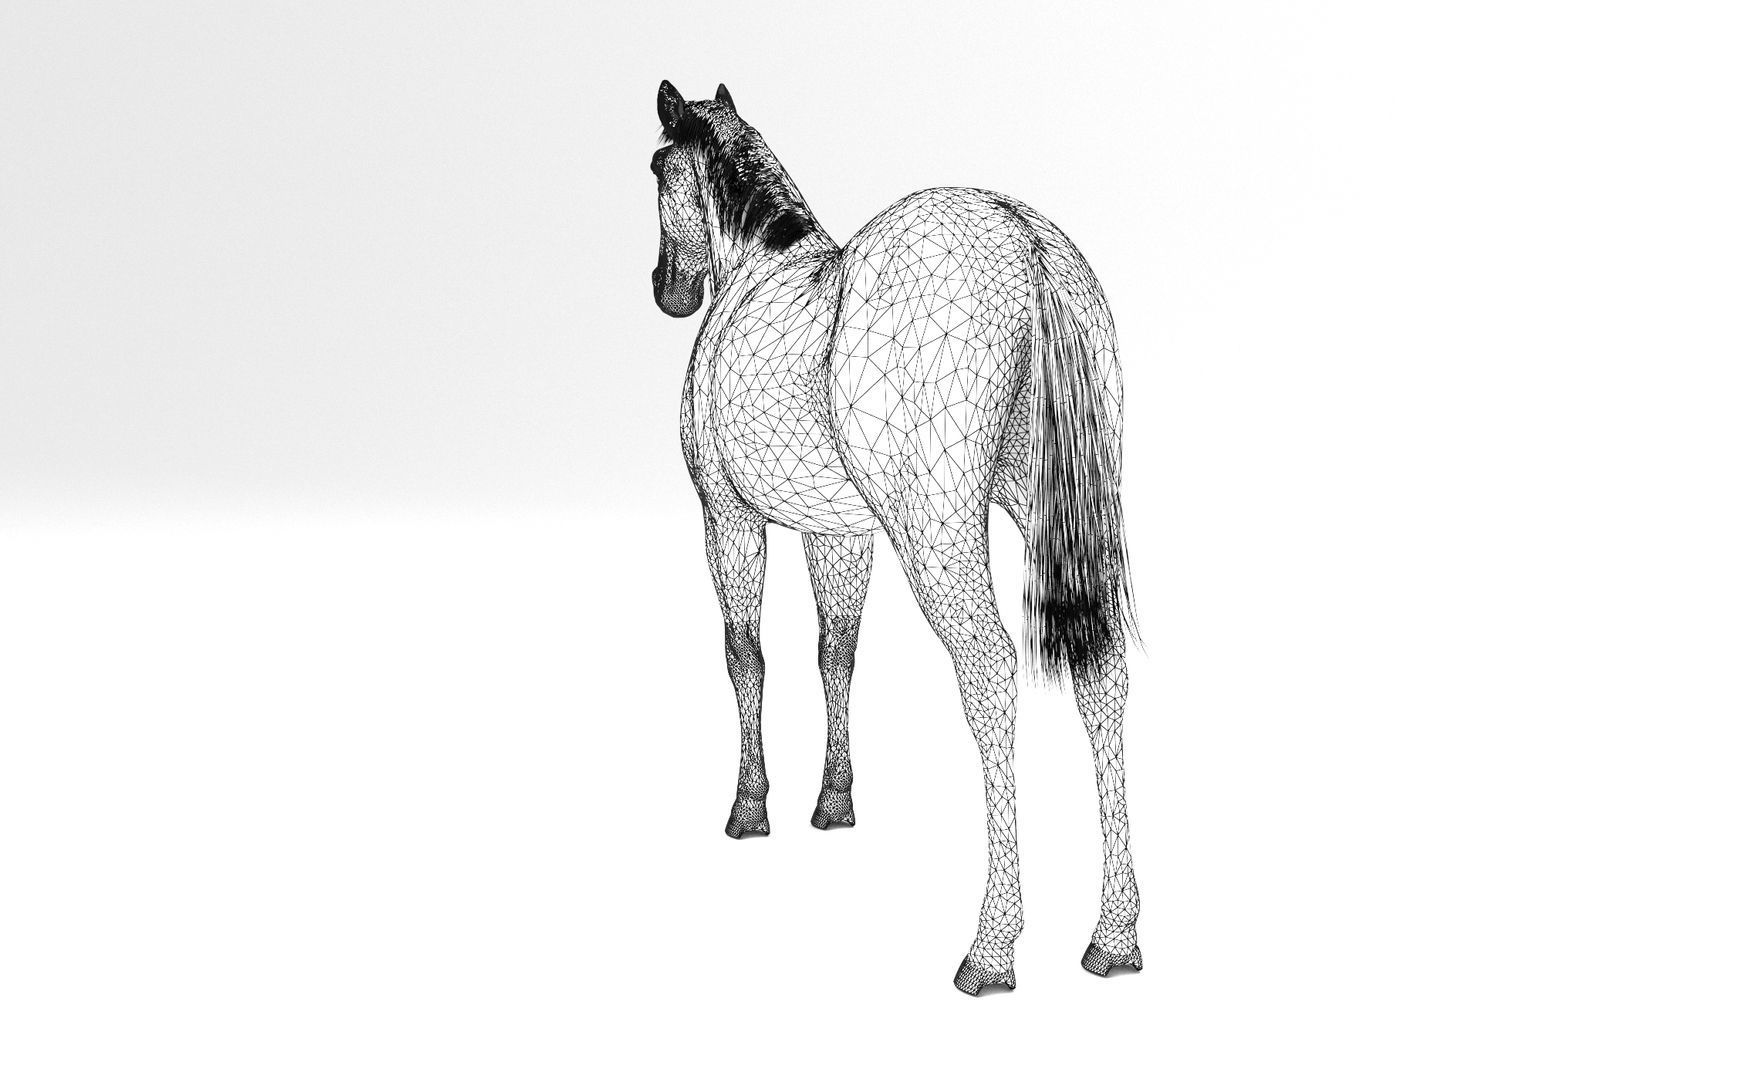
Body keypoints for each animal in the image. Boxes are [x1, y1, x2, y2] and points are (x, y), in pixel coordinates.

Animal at [648, 80, 1141, 994]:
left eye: (658, 168)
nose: (668, 288)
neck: (757, 271)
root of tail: (1022, 239)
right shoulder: (840, 532)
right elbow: (835, 651)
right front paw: (833, 802)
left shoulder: (726, 516)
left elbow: (744, 655)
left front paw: (749, 807)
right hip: (1062, 520)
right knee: (1103, 676)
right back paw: (1115, 936)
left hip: (938, 532)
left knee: (989, 672)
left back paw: (990, 948)